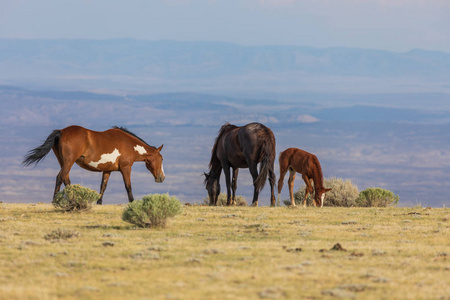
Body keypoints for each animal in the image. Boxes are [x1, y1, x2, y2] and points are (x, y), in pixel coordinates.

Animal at [21, 125, 165, 205]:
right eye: (162, 158)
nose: (162, 177)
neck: (129, 144)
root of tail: (61, 131)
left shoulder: (107, 170)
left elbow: (103, 186)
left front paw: (99, 202)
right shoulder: (126, 168)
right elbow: (128, 186)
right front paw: (132, 202)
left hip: (63, 162)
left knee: (66, 179)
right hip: (68, 162)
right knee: (60, 178)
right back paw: (56, 200)